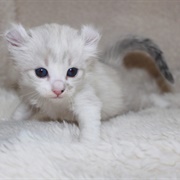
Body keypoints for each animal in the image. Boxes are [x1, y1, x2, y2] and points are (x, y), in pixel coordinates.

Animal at [3, 23, 173, 142]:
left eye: (72, 72)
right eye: (41, 72)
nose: (58, 89)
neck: (57, 104)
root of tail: (113, 64)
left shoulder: (87, 101)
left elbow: (89, 124)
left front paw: (87, 143)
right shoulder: (30, 95)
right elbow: (20, 112)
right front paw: (9, 121)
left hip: (132, 99)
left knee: (149, 97)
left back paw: (165, 104)